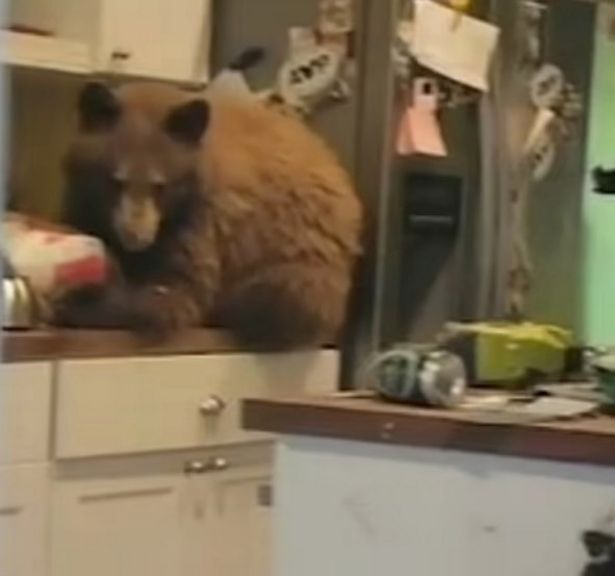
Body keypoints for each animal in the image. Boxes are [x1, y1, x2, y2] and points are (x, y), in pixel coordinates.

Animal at [55, 81, 364, 348]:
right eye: (114, 181)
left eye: (161, 186)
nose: (135, 236)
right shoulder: (85, 205)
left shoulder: (200, 224)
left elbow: (176, 294)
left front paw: (87, 304)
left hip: (305, 255)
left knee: (275, 299)